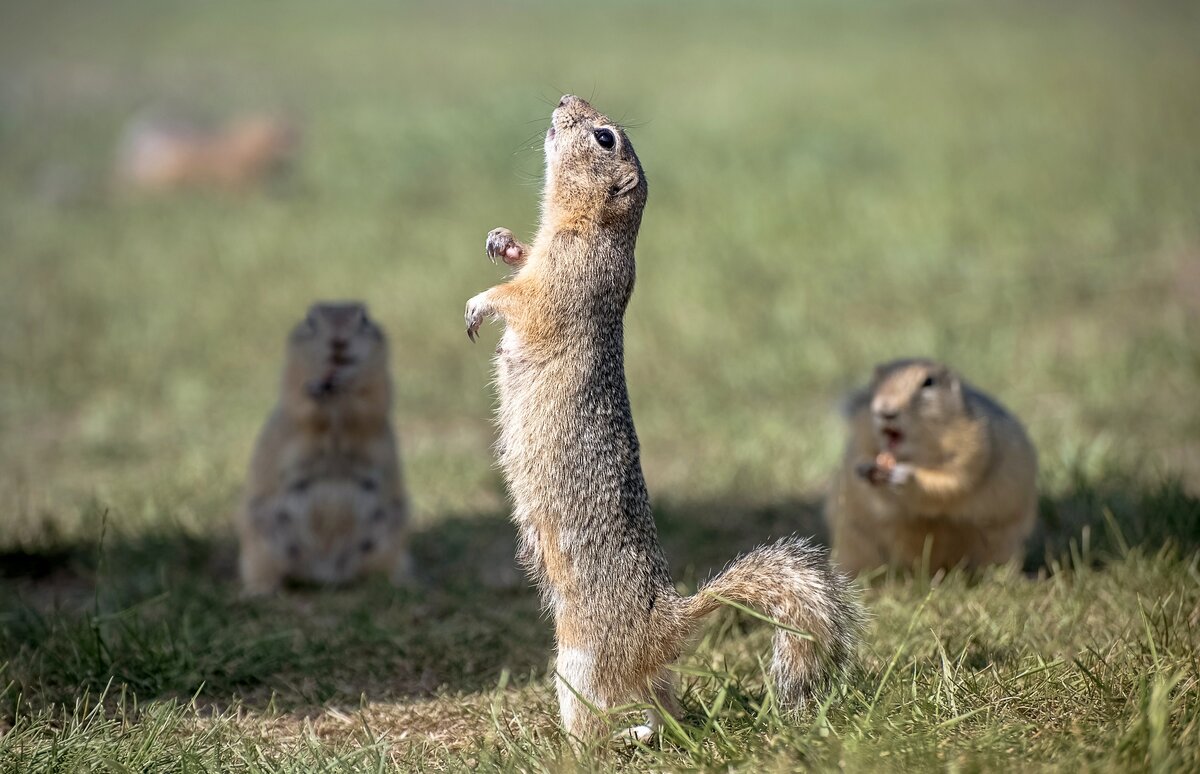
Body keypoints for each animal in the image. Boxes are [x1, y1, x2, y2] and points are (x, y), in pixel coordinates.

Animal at [236, 300, 415, 592]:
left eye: (364, 319)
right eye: (310, 320)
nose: (338, 341)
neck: (335, 399)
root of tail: (327, 572)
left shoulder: (379, 386)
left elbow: (369, 407)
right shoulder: (293, 384)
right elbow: (302, 408)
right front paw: (317, 394)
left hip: (391, 533)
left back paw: (400, 582)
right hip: (260, 537)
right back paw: (260, 589)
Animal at [458, 96, 864, 744]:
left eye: (604, 138)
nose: (565, 100)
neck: (588, 225)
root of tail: (665, 627)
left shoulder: (564, 282)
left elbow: (521, 300)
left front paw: (479, 305)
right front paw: (502, 241)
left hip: (578, 661)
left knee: (599, 722)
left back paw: (576, 747)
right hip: (642, 677)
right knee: (665, 711)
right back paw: (647, 732)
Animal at [825, 357, 1041, 573]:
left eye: (928, 382)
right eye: (875, 383)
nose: (885, 410)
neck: (913, 454)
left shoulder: (973, 445)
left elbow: (951, 482)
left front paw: (905, 476)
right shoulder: (860, 439)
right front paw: (865, 470)